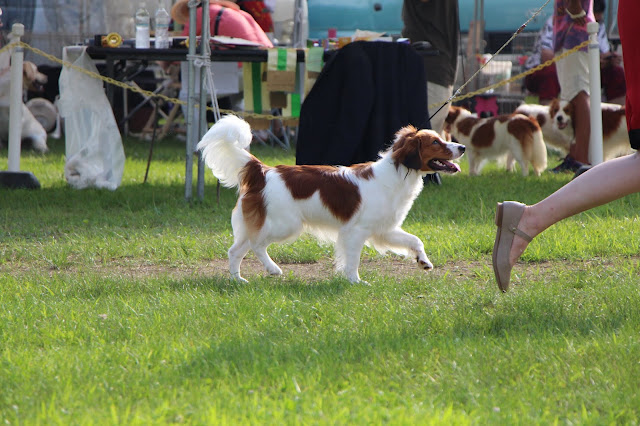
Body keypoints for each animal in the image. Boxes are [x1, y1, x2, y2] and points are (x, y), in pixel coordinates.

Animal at [197, 114, 466, 284]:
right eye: (436, 142)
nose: (462, 147)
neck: (397, 174)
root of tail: (262, 170)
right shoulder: (356, 231)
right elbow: (353, 259)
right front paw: (355, 281)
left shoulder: (385, 229)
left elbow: (415, 240)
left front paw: (423, 261)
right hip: (285, 224)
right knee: (256, 245)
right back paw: (273, 269)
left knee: (235, 250)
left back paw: (238, 280)